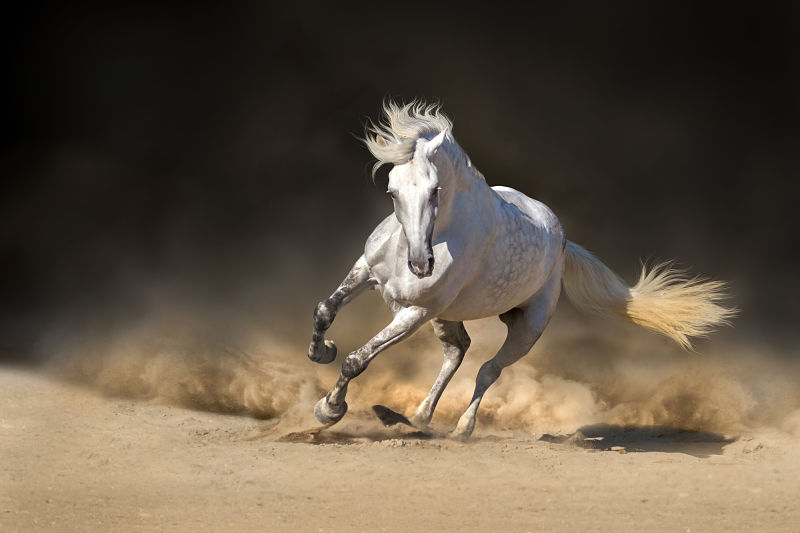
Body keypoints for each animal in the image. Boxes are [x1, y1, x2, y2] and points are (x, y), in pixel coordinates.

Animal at [304, 98, 732, 436]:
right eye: (392, 191)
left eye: (435, 190)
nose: (421, 265)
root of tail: (561, 241)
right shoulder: (366, 271)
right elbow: (325, 309)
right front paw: (321, 352)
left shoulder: (414, 312)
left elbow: (358, 359)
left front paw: (329, 409)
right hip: (450, 315)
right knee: (458, 350)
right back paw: (416, 417)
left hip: (526, 327)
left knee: (487, 370)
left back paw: (459, 428)